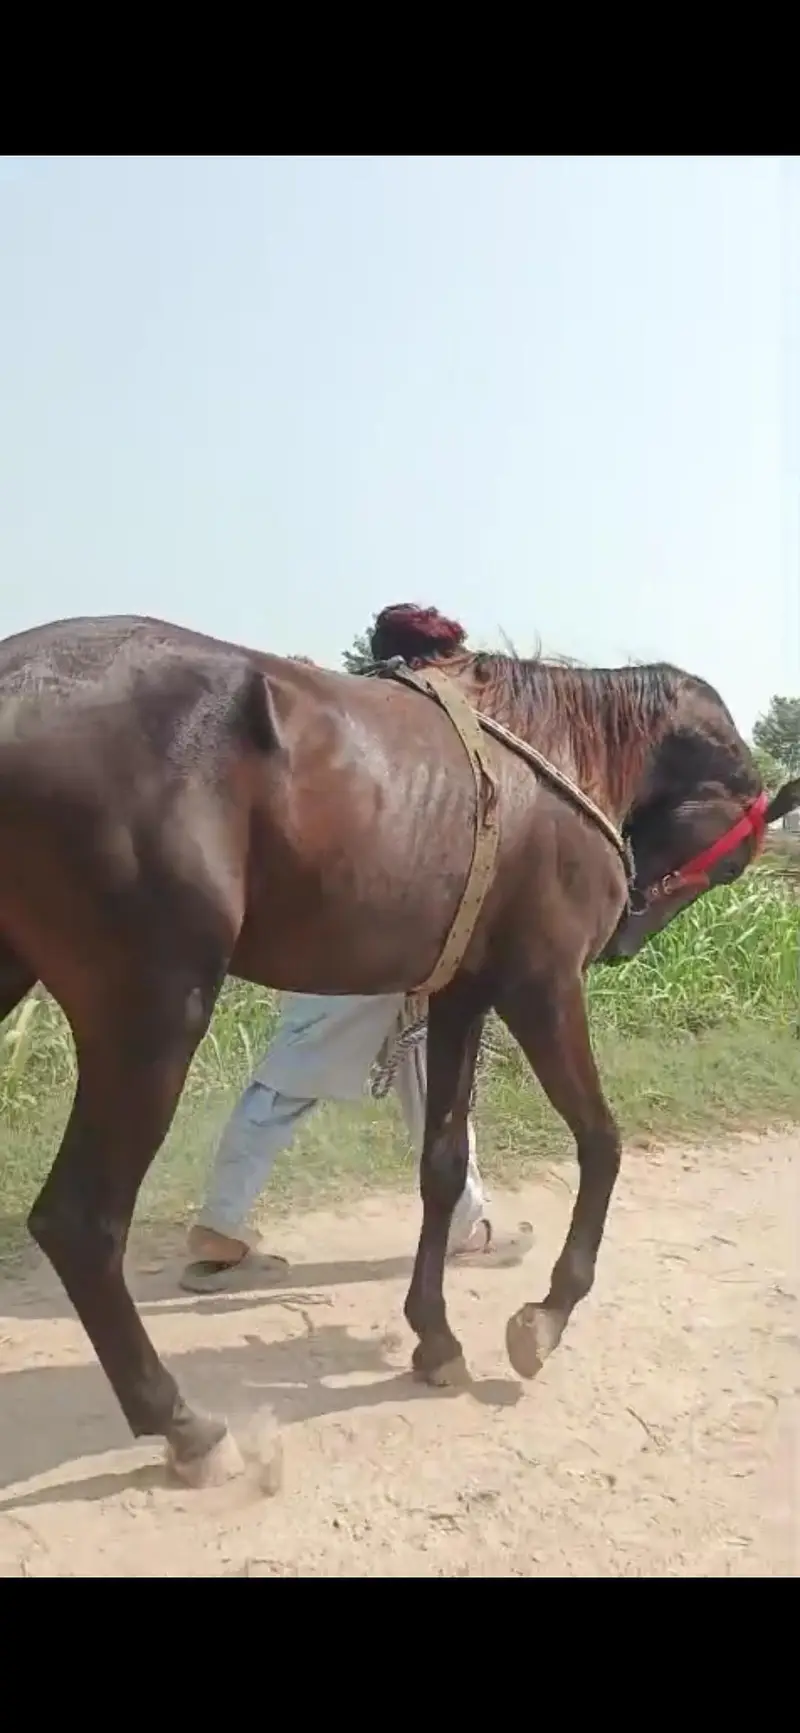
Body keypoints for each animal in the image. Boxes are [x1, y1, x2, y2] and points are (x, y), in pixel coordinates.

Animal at [0, 604, 796, 1488]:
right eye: (733, 865)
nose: (624, 937)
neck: (554, 744)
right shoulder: (542, 984)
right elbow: (601, 1141)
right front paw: (547, 1315)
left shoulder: (460, 992)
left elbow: (443, 1164)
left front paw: (435, 1336)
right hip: (152, 1011)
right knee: (82, 1222)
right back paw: (183, 1424)